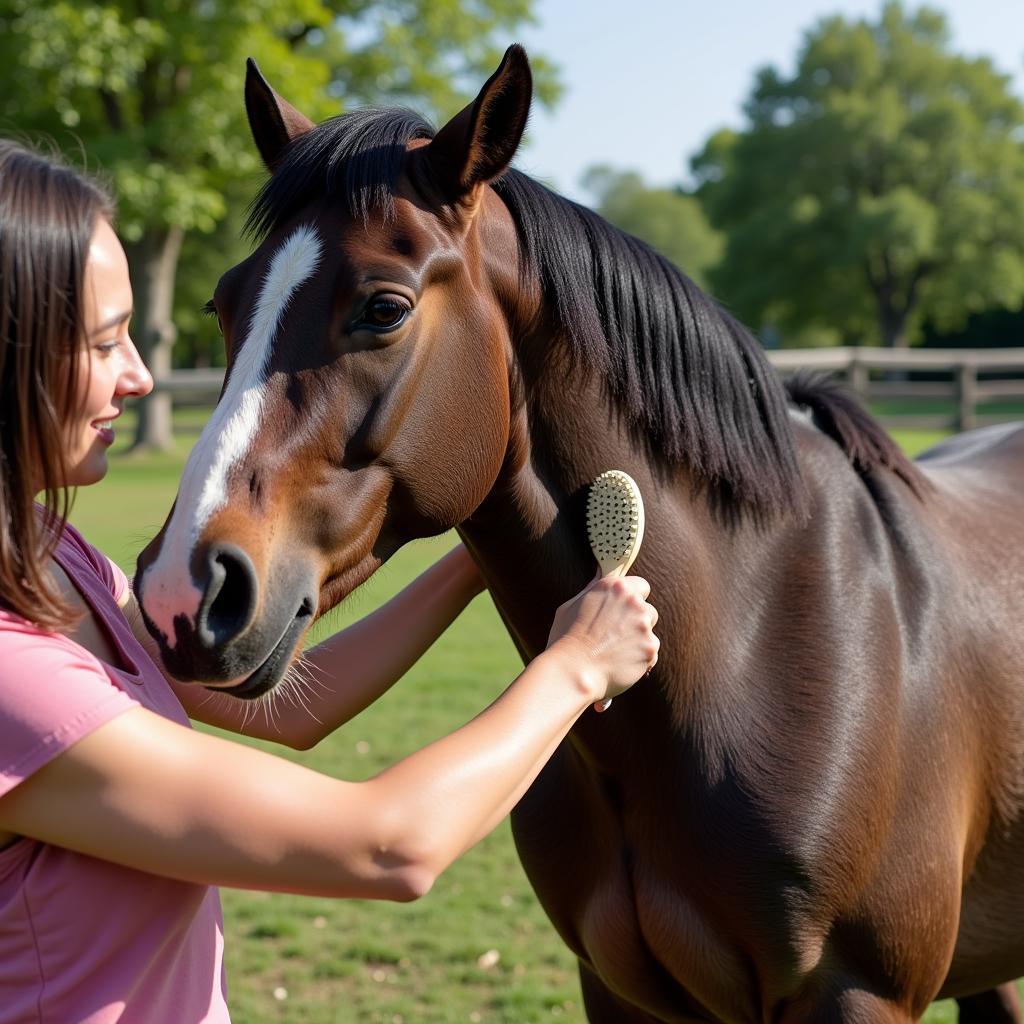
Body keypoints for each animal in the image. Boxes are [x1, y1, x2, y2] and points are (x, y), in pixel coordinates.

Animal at [138, 44, 1024, 1019]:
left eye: (384, 308)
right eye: (224, 304)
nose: (185, 590)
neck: (747, 648)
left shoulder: (857, 995)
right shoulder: (613, 988)